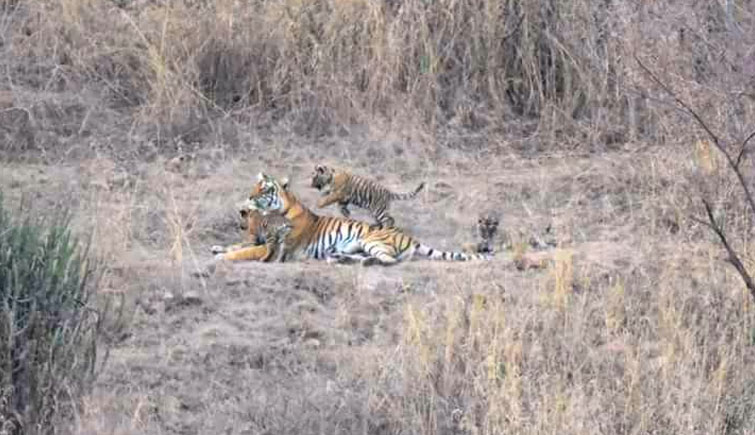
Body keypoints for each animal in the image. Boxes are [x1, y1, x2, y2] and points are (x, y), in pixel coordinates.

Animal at [214, 174, 490, 266]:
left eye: (263, 189)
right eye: (255, 186)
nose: (249, 196)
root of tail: (408, 236)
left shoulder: (276, 245)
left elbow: (245, 251)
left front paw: (221, 256)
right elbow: (239, 245)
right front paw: (218, 247)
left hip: (371, 240)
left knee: (389, 261)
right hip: (356, 245)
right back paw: (339, 258)